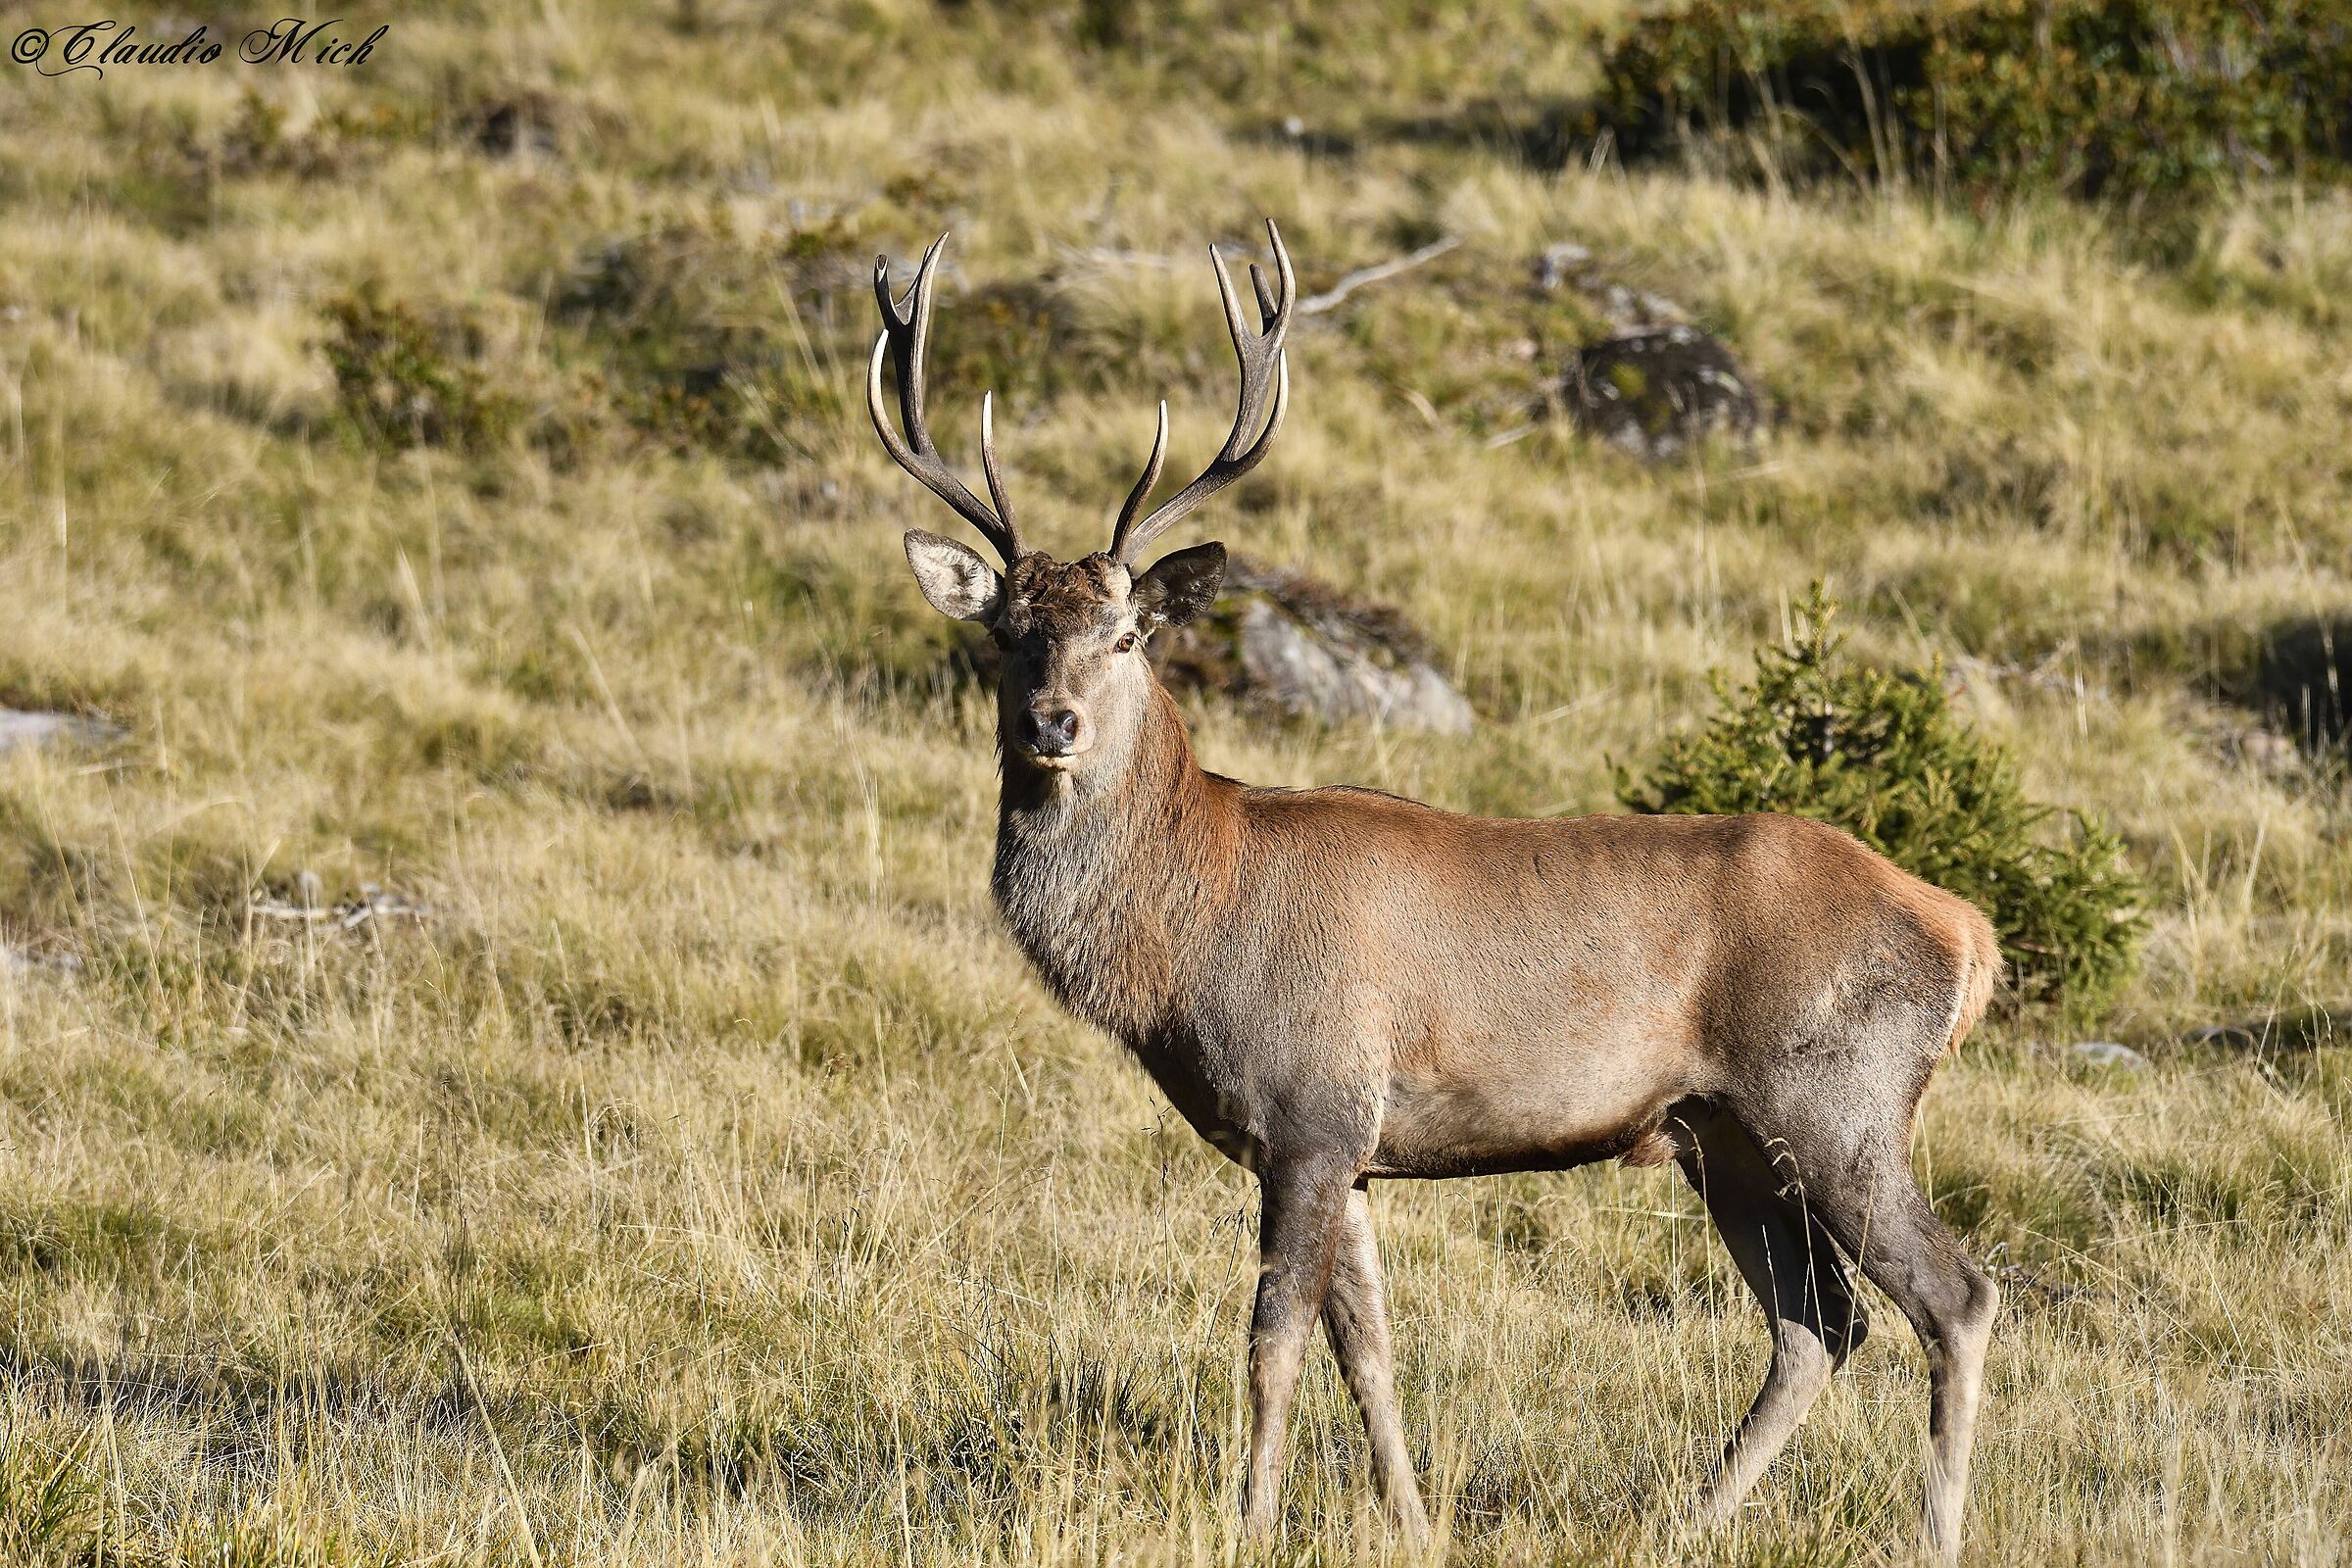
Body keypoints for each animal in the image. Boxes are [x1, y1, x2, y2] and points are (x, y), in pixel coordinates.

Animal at [864, 221, 2002, 1564]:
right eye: (1007, 632)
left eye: (1128, 634)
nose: (1053, 722)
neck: (1195, 925)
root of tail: (1969, 933)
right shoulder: (1349, 1146)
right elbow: (1372, 1350)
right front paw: (1407, 1518)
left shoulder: (1309, 1106)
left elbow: (1272, 1341)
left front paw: (1251, 1520)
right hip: (1723, 1133)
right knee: (1819, 1322)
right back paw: (1676, 1521)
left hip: (1840, 1099)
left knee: (1953, 1296)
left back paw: (1928, 1533)